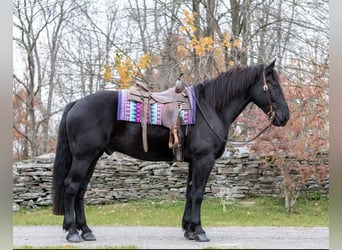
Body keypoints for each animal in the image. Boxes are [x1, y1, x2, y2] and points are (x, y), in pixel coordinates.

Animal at [52, 60, 290, 242]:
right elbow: (198, 194)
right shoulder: (204, 160)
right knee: (71, 187)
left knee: (81, 191)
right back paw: (72, 232)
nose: (285, 117)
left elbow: (190, 193)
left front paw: (189, 230)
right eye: (272, 85)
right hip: (84, 158)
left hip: (92, 157)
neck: (210, 107)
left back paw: (86, 230)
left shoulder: (194, 161)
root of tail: (76, 103)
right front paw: (199, 231)